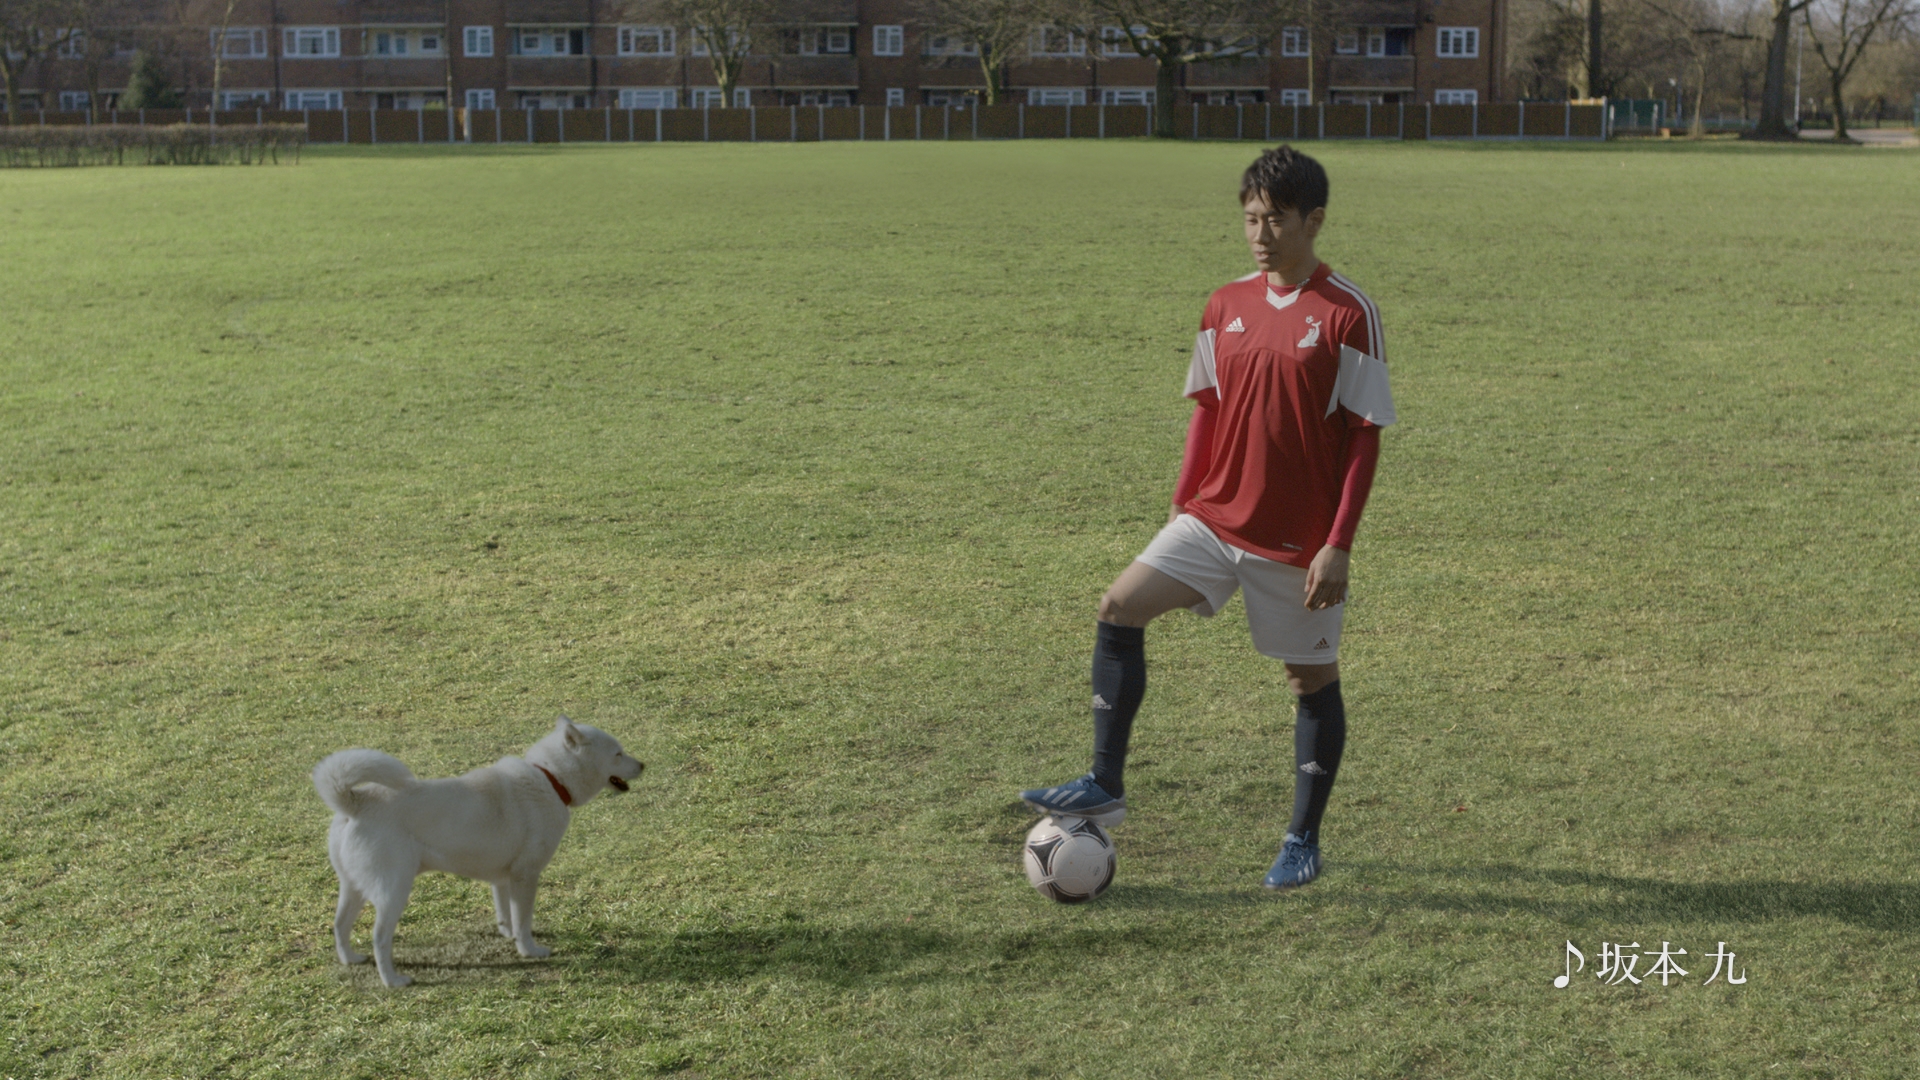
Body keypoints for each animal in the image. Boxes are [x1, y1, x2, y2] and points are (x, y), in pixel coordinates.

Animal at [312, 714, 645, 983]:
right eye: (618, 754)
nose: (644, 765)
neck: (550, 778)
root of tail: (354, 802)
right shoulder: (525, 876)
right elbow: (523, 920)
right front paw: (529, 950)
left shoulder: (502, 878)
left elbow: (506, 915)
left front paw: (509, 936)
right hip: (394, 891)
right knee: (379, 937)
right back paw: (392, 981)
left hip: (353, 887)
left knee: (339, 925)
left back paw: (351, 959)